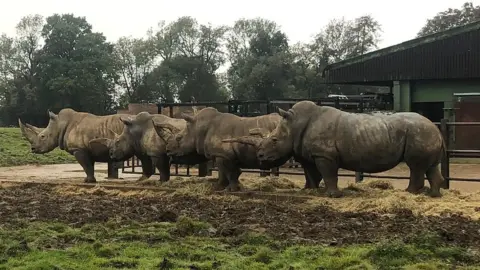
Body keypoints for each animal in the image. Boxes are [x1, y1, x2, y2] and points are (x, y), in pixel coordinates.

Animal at [18, 108, 153, 182]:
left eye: (42, 136)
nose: (33, 148)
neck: (60, 124)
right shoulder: (88, 149)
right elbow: (89, 166)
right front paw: (90, 180)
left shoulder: (79, 149)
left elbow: (85, 166)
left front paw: (88, 181)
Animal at [152, 106, 290, 191]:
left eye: (179, 138)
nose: (168, 150)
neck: (198, 128)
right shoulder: (220, 154)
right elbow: (224, 173)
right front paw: (219, 187)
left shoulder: (224, 154)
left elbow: (230, 172)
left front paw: (232, 189)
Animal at [225, 101, 446, 198]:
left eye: (274, 140)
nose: (260, 156)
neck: (295, 125)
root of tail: (437, 129)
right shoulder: (309, 154)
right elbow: (311, 173)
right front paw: (309, 190)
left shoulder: (325, 154)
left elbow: (329, 174)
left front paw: (333, 195)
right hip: (425, 134)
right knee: (430, 166)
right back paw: (432, 195)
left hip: (419, 133)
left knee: (415, 166)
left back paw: (411, 193)